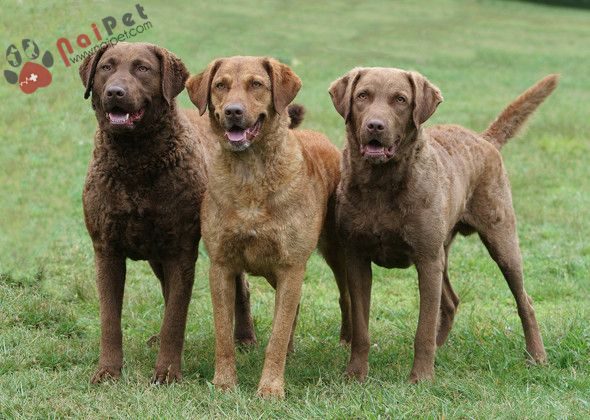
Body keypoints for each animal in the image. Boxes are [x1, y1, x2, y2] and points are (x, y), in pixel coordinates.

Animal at [80, 42, 256, 384]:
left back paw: (244, 337)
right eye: (106, 67)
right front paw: (107, 371)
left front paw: (167, 373)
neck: (134, 162)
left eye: (142, 68)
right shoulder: (106, 249)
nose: (115, 92)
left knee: (240, 288)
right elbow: (110, 319)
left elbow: (176, 317)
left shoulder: (180, 252)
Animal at [185, 57, 352, 398]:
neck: (250, 174)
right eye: (220, 85)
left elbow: (276, 334)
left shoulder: (291, 266)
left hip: (334, 250)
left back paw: (346, 340)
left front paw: (271, 389)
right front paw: (224, 383)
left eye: (257, 84)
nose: (233, 111)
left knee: (344, 296)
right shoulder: (221, 264)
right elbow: (224, 334)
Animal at [330, 68, 560, 384]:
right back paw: (441, 350)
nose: (375, 125)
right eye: (362, 95)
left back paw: (537, 356)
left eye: (400, 99)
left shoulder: (427, 259)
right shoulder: (356, 258)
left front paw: (421, 378)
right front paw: (355, 375)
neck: (381, 185)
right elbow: (361, 327)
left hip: (501, 242)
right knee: (451, 301)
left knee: (525, 301)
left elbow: (423, 328)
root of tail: (483, 139)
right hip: (443, 250)